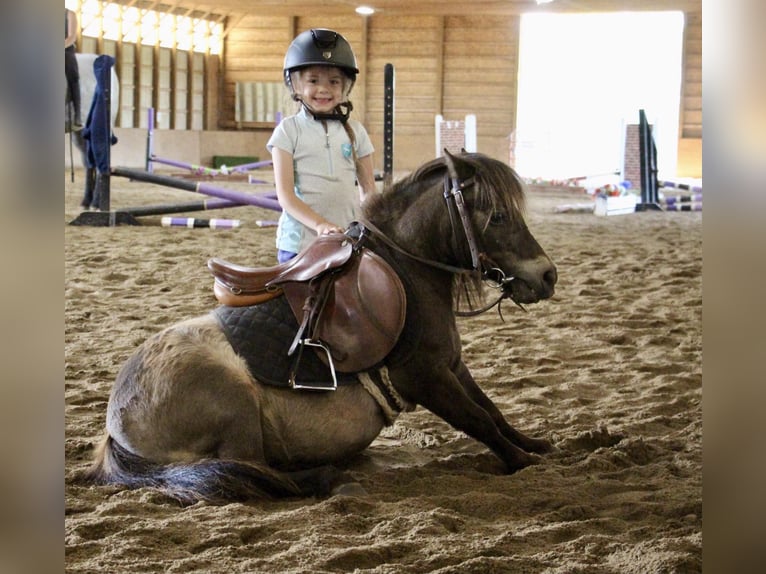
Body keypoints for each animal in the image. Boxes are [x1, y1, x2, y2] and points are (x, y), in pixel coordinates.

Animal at [81, 151, 560, 506]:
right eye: (498, 217)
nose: (547, 275)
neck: (408, 275)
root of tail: (114, 427)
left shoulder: (453, 365)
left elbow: (493, 412)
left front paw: (535, 444)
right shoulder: (425, 378)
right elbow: (478, 420)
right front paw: (522, 460)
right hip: (237, 405)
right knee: (251, 471)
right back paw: (329, 477)